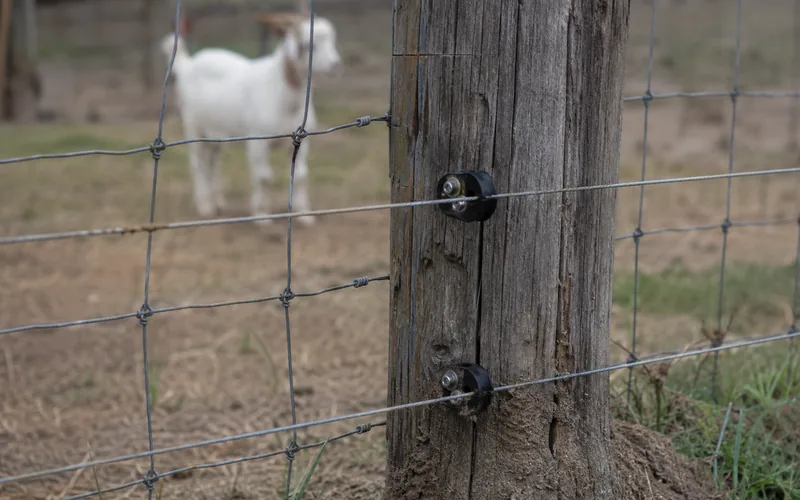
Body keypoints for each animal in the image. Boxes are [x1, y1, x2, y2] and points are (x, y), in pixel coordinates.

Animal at [160, 3, 342, 227]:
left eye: (332, 40)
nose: (335, 64)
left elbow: (300, 175)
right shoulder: (257, 140)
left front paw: (303, 215)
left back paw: (218, 201)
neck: (280, 90)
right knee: (198, 164)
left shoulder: (303, 140)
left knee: (213, 163)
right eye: (306, 45)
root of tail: (188, 65)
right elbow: (264, 176)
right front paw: (262, 216)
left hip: (215, 133)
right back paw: (205, 205)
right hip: (193, 125)